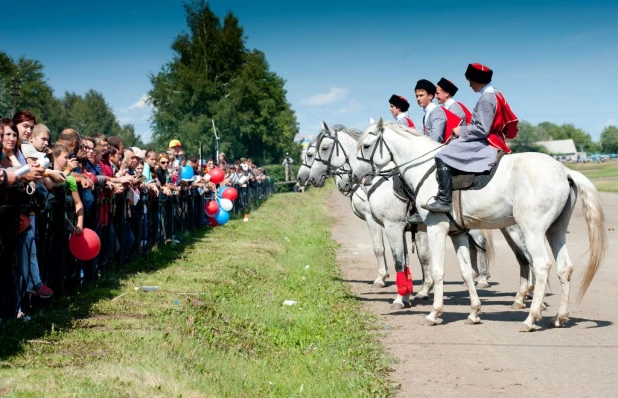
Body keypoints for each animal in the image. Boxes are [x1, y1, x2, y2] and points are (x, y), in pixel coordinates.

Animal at [354, 119, 604, 332]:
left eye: (366, 145)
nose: (357, 177)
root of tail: (564, 171)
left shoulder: (434, 229)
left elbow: (436, 270)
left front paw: (434, 312)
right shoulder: (457, 233)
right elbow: (466, 272)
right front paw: (474, 312)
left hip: (531, 231)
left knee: (541, 265)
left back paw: (531, 317)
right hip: (555, 231)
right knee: (564, 268)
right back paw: (560, 317)